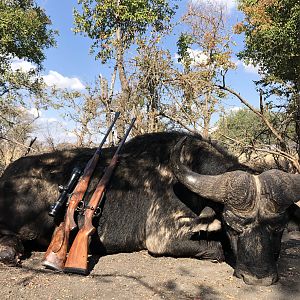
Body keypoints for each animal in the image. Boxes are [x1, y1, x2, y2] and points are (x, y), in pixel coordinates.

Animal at [0, 132, 298, 286]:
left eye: (279, 227)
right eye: (232, 226)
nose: (259, 278)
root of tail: (7, 176)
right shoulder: (163, 238)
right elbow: (216, 249)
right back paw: (10, 251)